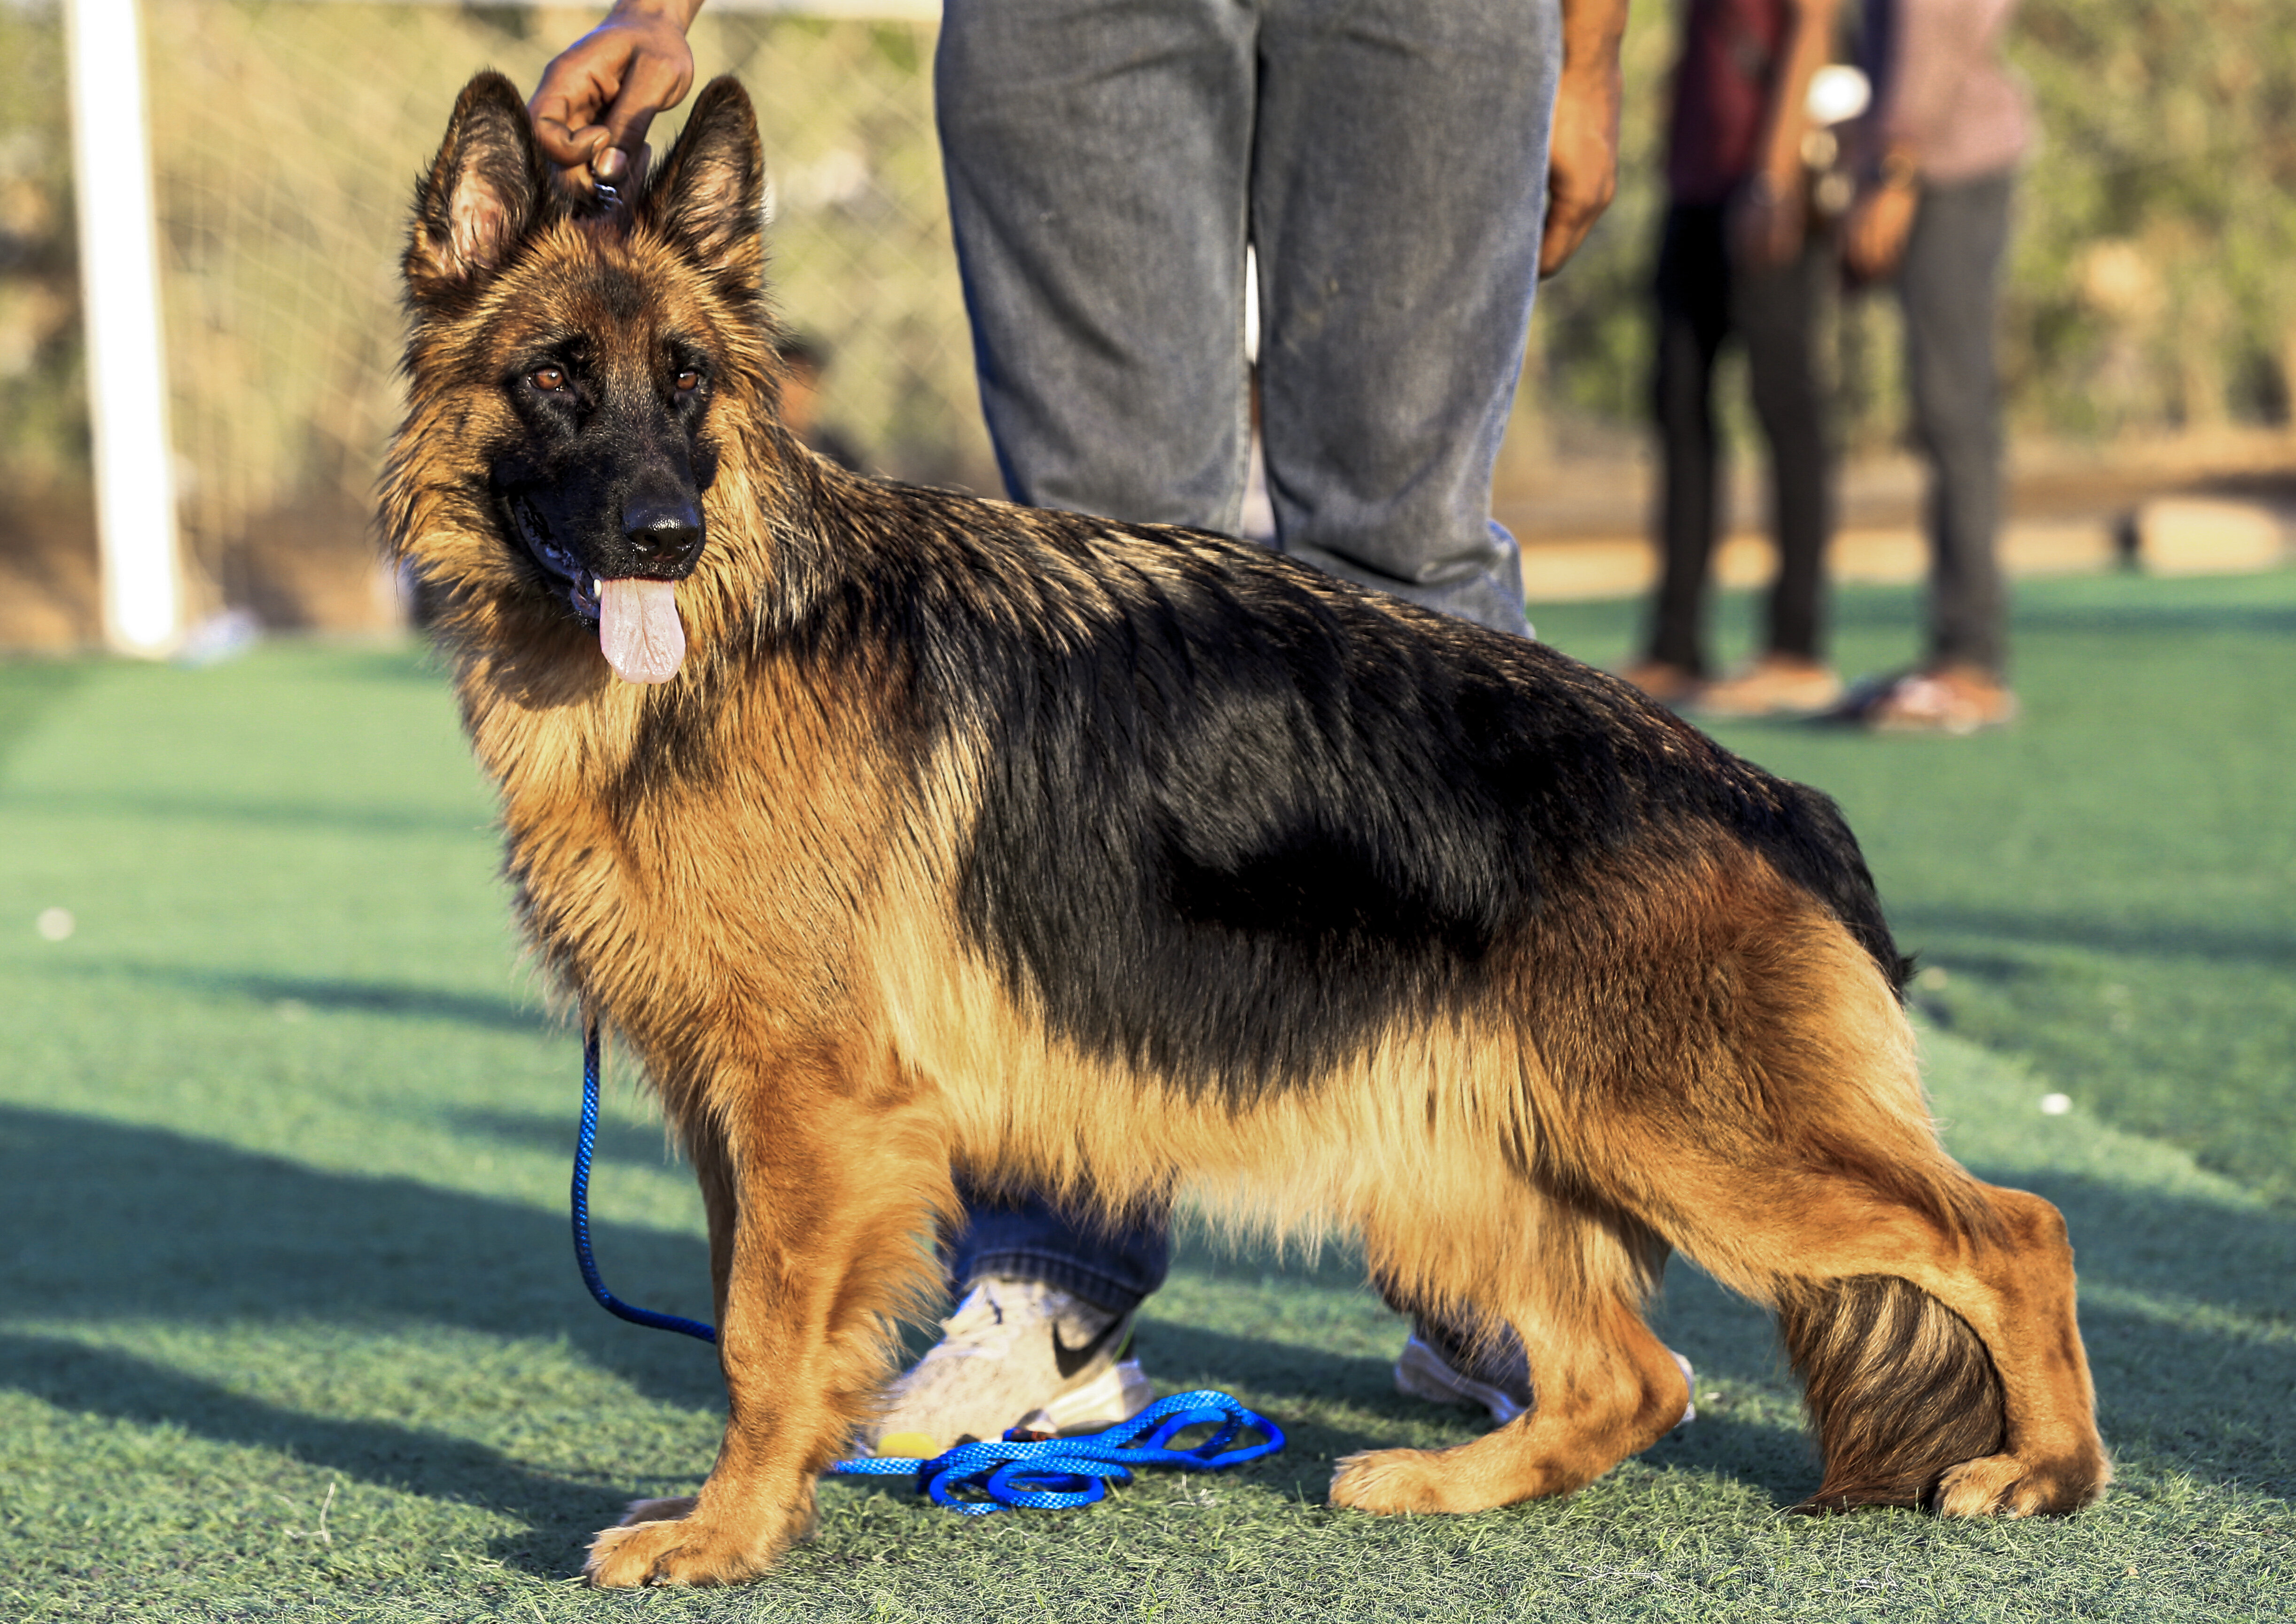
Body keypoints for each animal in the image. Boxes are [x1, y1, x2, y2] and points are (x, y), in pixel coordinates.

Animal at [385, 73, 2103, 1589]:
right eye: (555, 377)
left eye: (686, 382)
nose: (663, 537)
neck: (746, 628)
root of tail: (1763, 793)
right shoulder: (736, 1114)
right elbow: (759, 1325)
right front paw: (762, 1503)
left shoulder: (812, 1110)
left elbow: (755, 1332)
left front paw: (728, 1536)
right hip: (1458, 1166)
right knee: (1630, 1373)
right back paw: (1441, 1481)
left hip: (1699, 1146)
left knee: (2009, 1229)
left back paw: (2044, 1467)